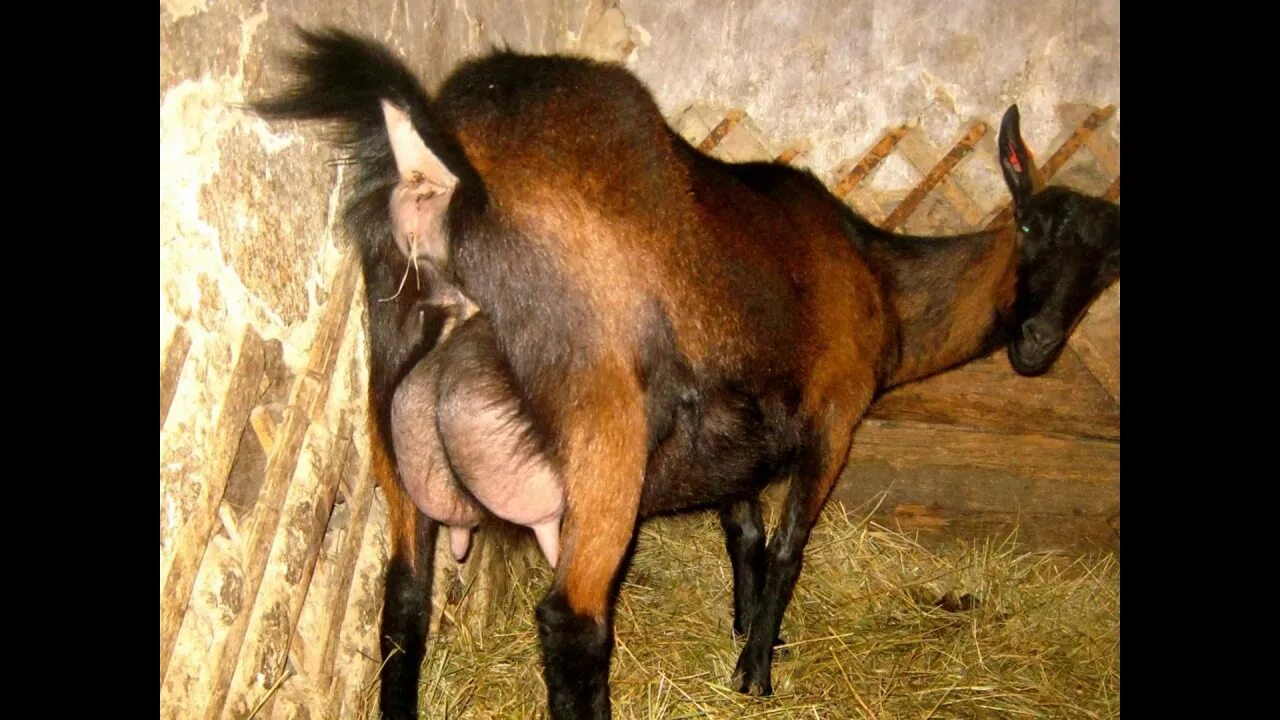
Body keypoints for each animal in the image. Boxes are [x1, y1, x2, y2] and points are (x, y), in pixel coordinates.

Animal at [250, 27, 1120, 720]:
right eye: (1029, 225)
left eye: (1110, 263)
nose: (1039, 343)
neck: (877, 275)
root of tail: (444, 166)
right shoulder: (835, 416)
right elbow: (789, 548)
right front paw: (757, 673)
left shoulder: (741, 424)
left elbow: (745, 531)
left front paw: (744, 628)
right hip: (605, 423)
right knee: (573, 623)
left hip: (392, 392)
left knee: (403, 599)